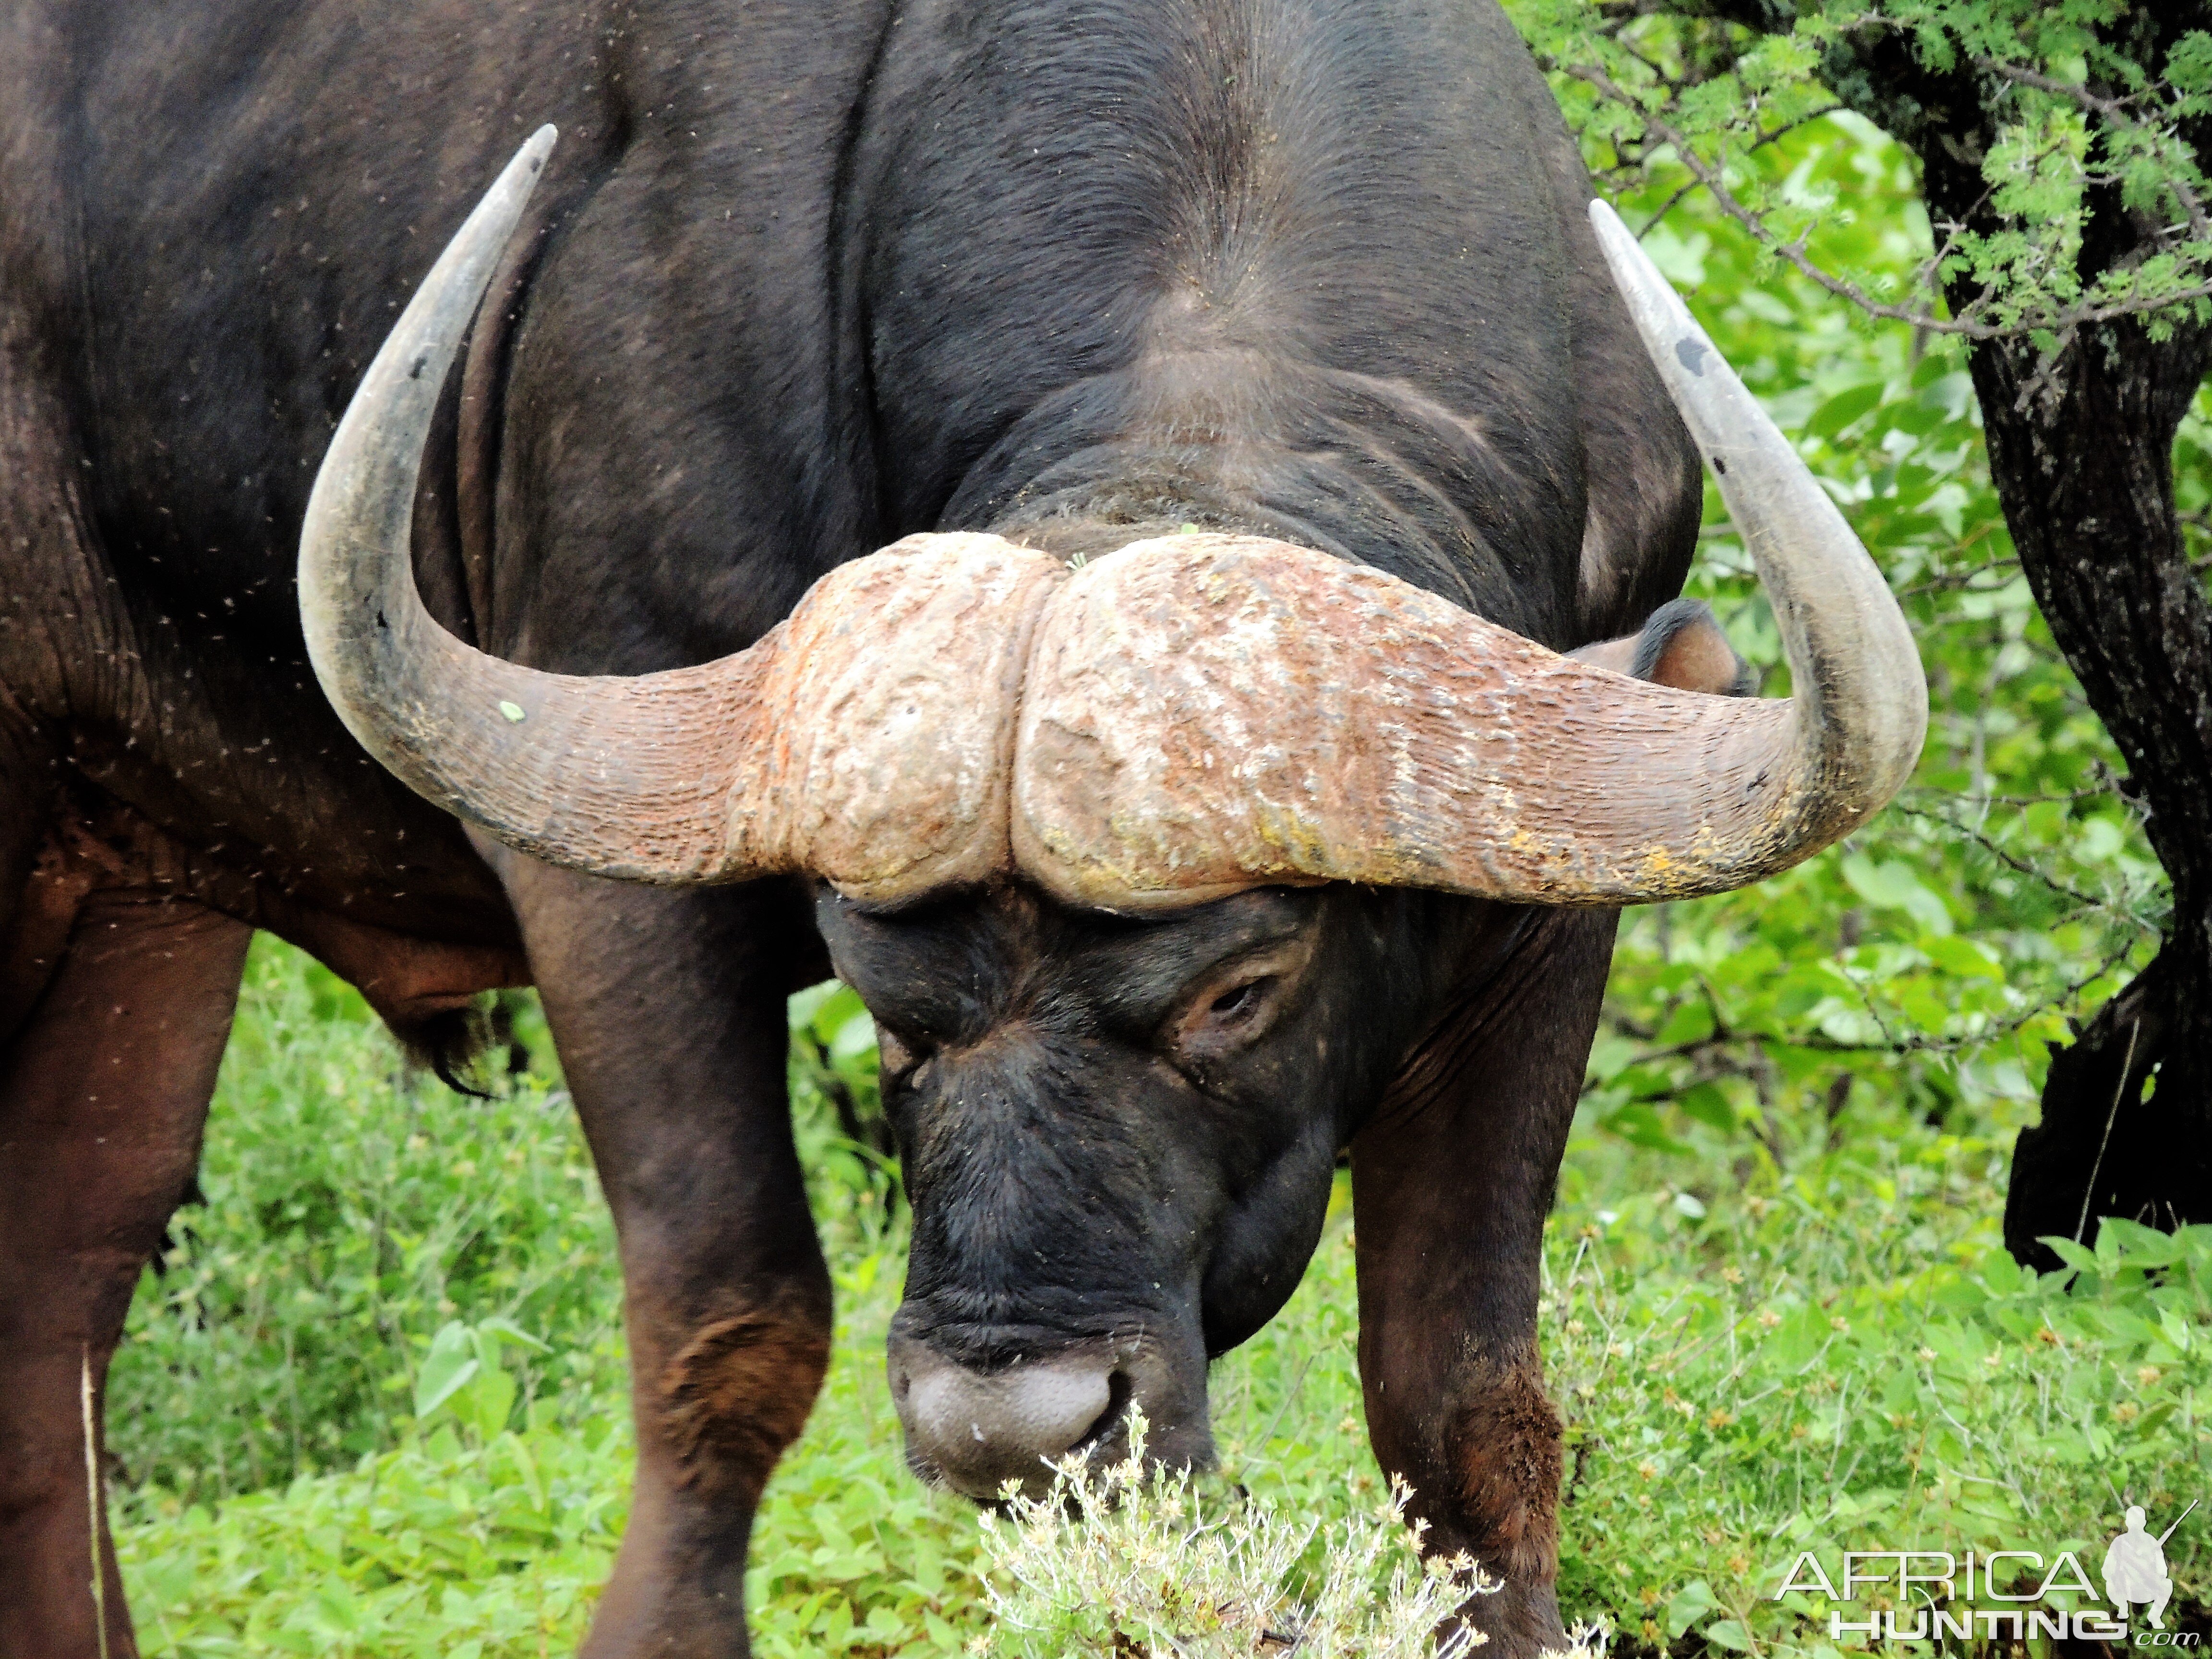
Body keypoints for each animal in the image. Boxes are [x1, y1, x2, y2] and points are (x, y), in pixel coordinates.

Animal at [4, 0, 1920, 1654]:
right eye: (880, 1003)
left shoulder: (1545, 911)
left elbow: (1465, 1401)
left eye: (1242, 987)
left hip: (139, 887)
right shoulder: (609, 877)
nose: (1015, 1427)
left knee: (65, 1280)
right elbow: (729, 1326)